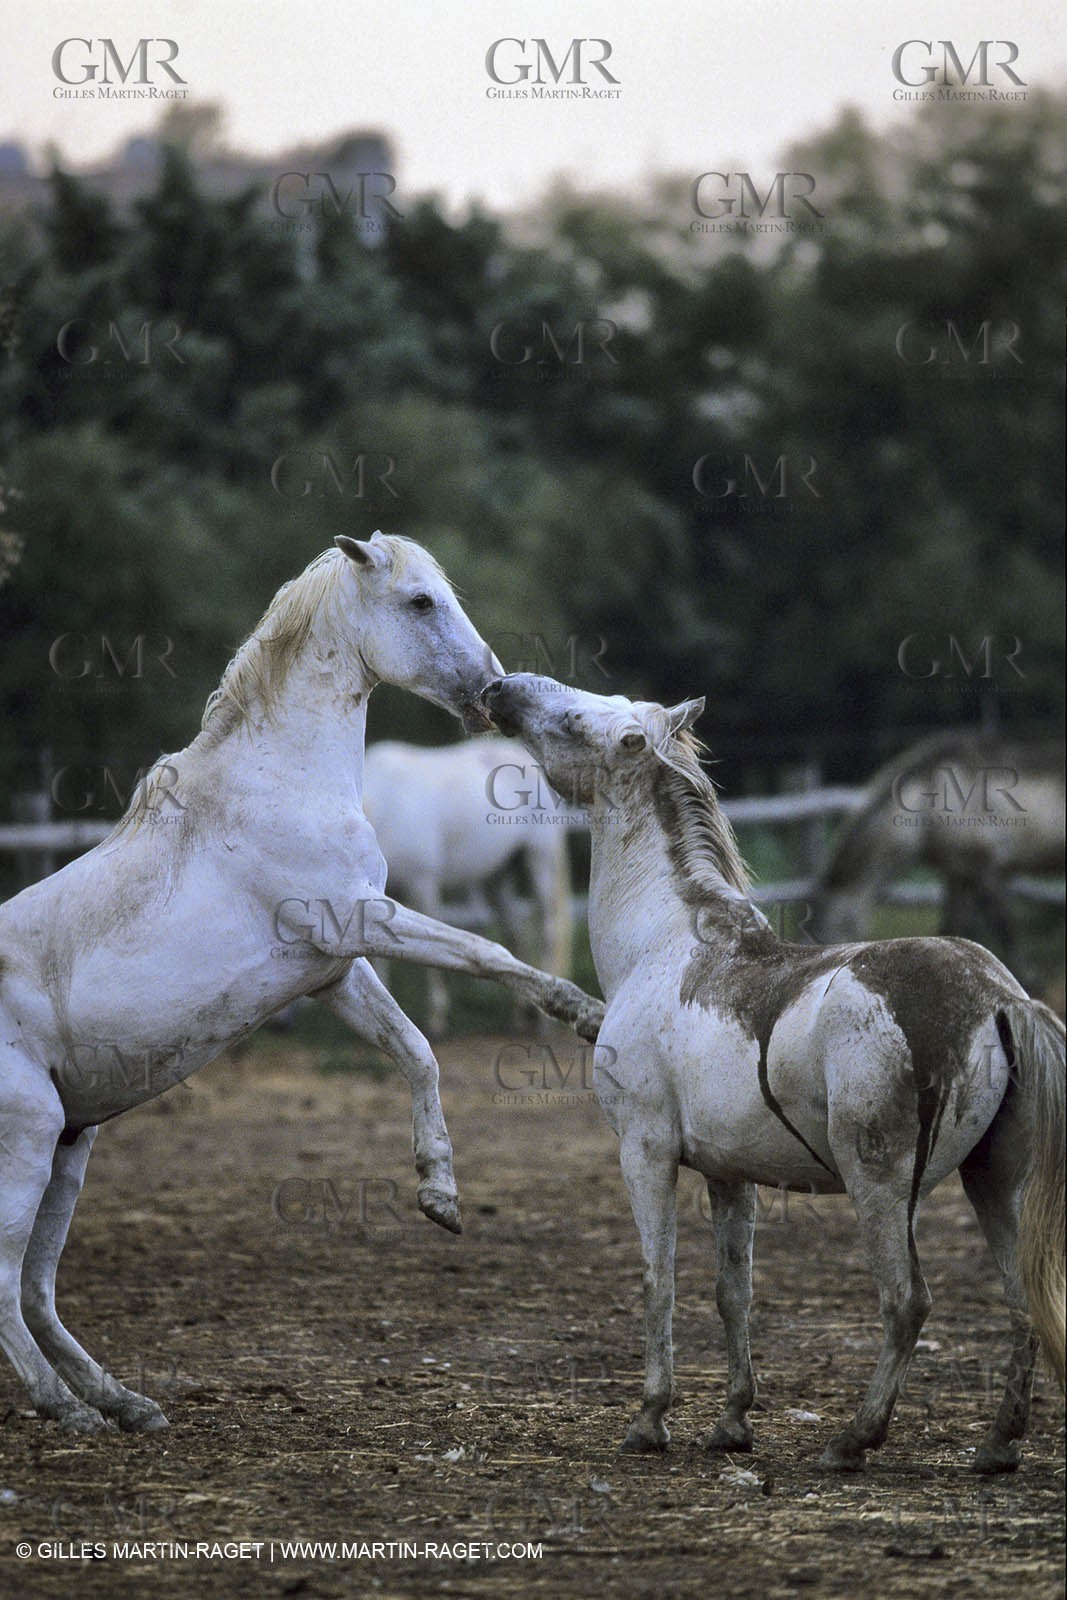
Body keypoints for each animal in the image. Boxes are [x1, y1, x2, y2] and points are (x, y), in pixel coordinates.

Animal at [362, 736, 573, 1036]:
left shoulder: (423, 886)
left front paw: (436, 1019)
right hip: (496, 878)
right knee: (514, 933)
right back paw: (520, 1017)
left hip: (539, 861)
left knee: (548, 930)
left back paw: (544, 1024)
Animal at [810, 733, 1065, 985]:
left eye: (830, 936)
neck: (927, 803)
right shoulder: (958, 874)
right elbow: (952, 928)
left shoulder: (986, 871)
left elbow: (1006, 928)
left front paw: (1029, 981)